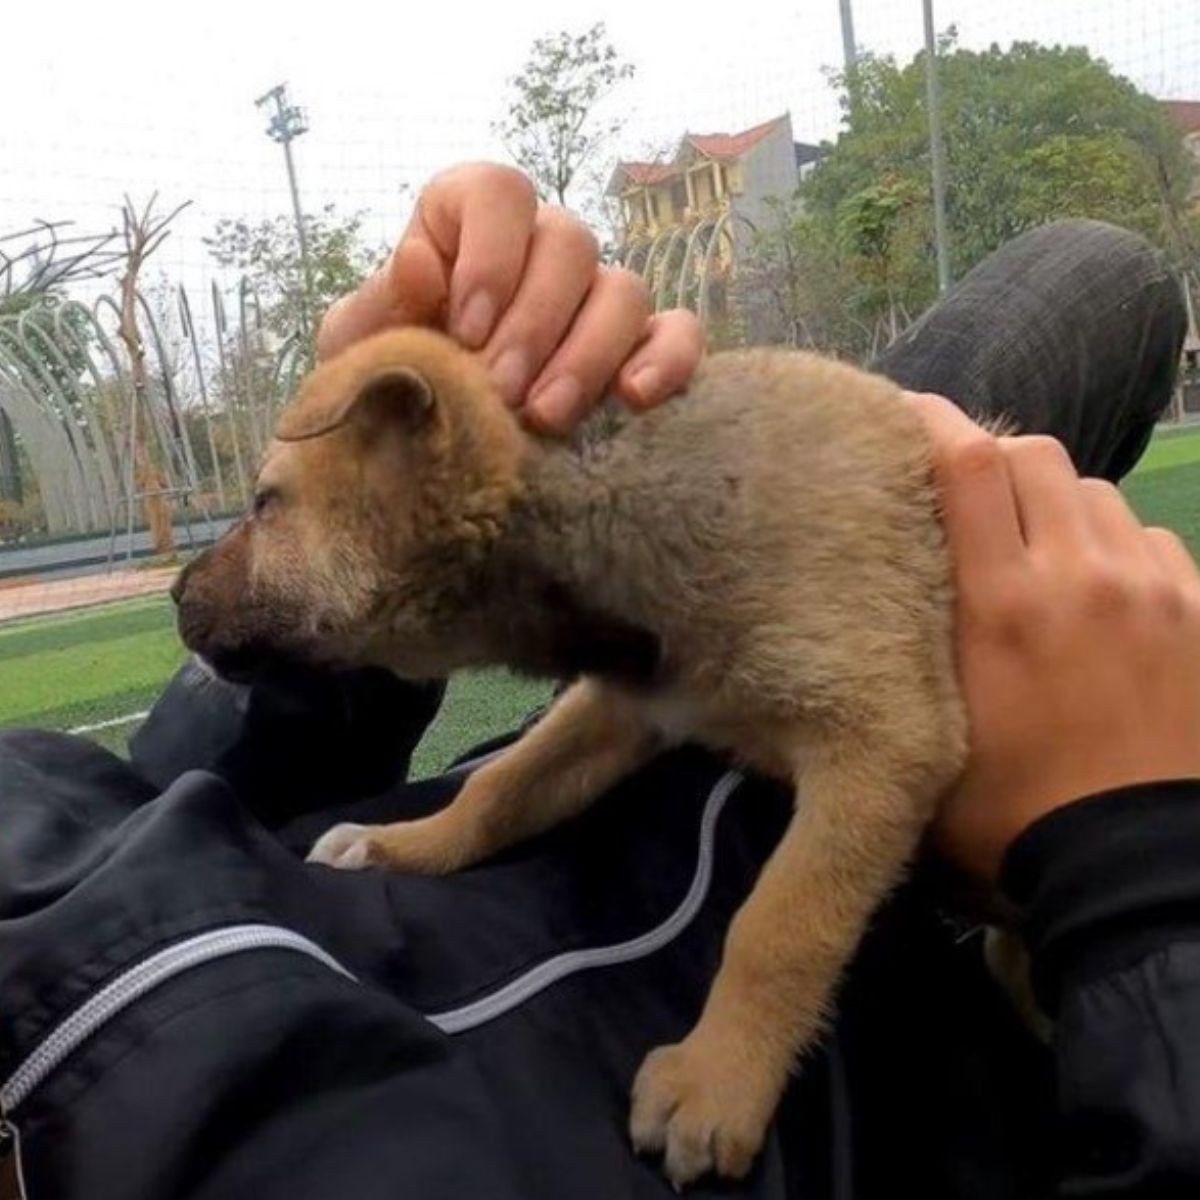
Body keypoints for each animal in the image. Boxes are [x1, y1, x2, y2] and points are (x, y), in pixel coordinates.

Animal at [175, 328, 964, 1190]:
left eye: (264, 503)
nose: (174, 594)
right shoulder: (627, 709)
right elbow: (498, 787)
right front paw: (398, 845)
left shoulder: (886, 741)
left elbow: (779, 924)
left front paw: (717, 1078)